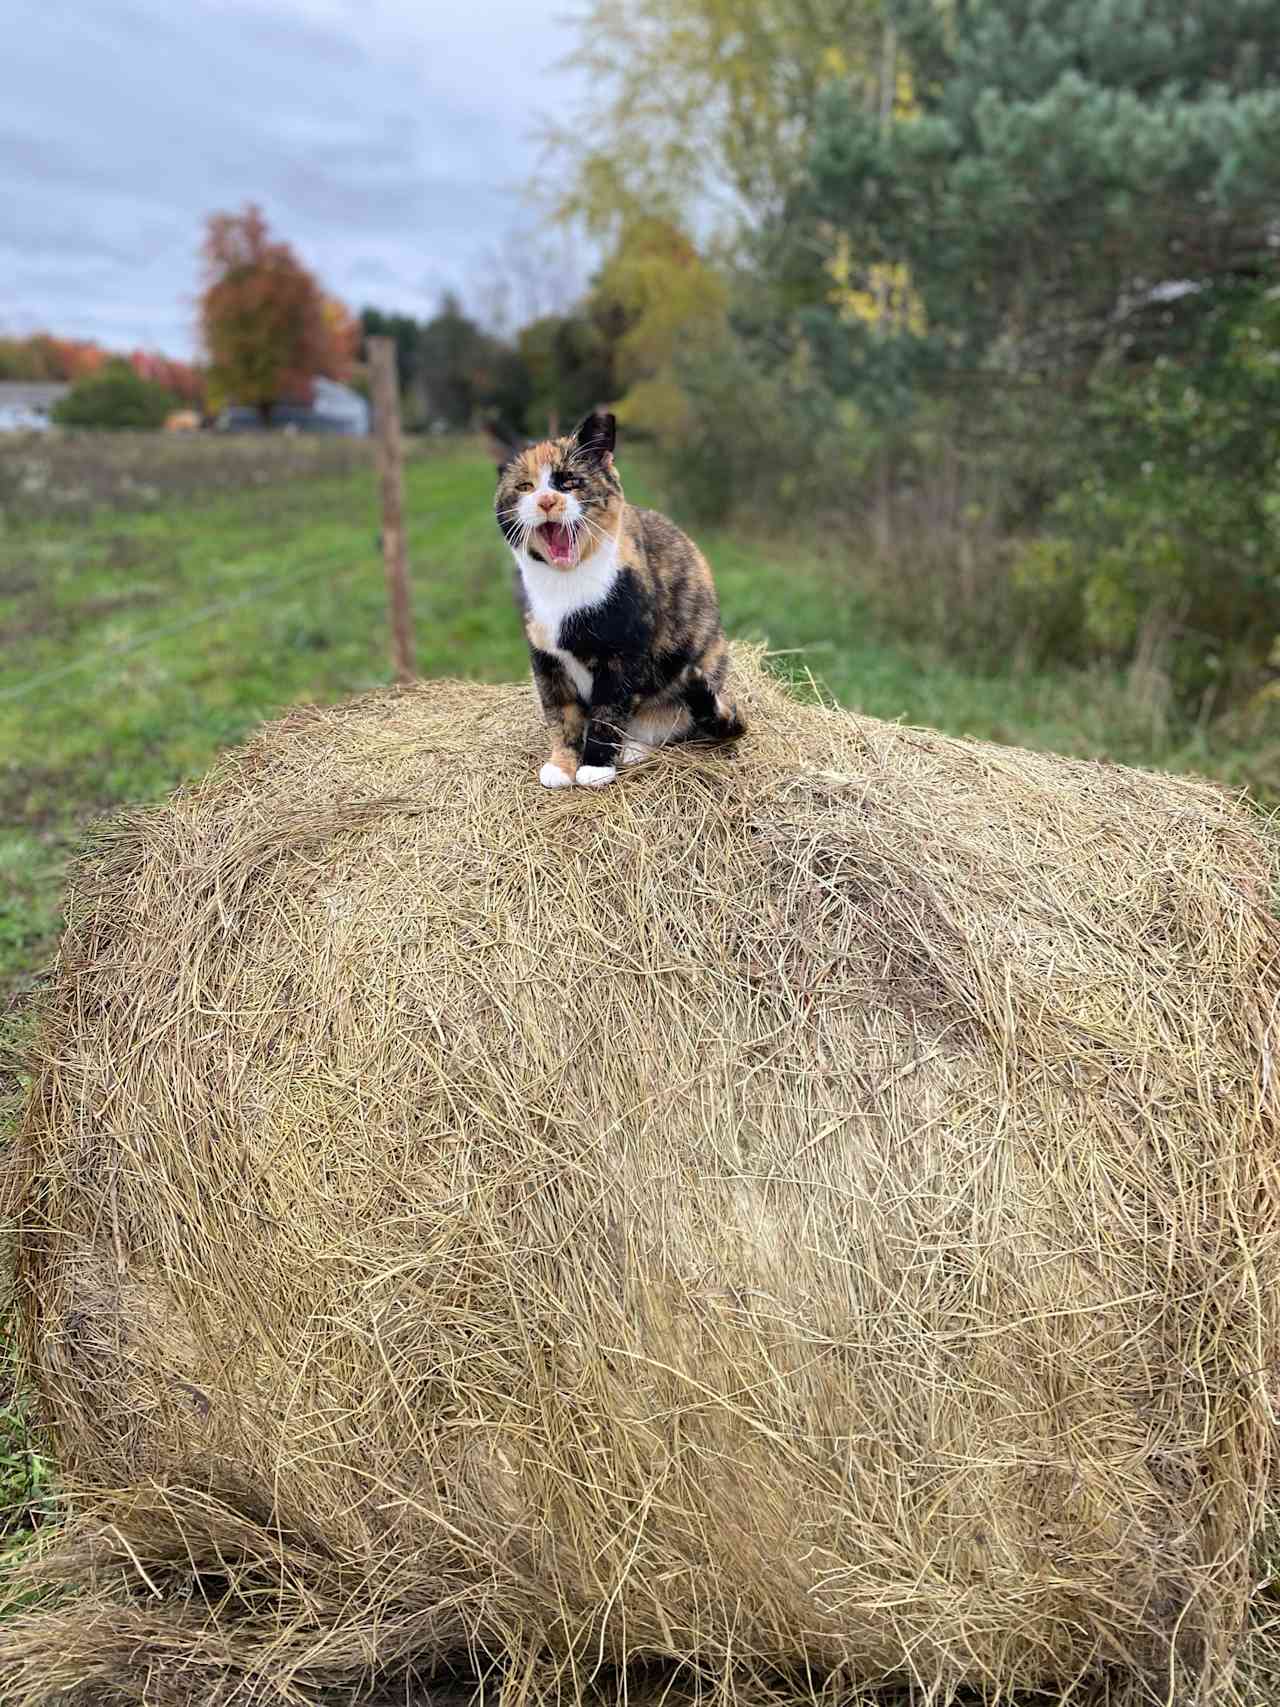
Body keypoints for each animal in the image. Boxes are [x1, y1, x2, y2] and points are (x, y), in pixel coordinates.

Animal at [494, 409, 750, 788]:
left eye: (570, 481)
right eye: (525, 487)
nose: (546, 501)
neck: (565, 588)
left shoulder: (623, 655)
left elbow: (608, 711)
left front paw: (596, 766)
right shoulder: (544, 659)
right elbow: (560, 713)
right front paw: (562, 765)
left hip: (700, 667)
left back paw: (634, 748)